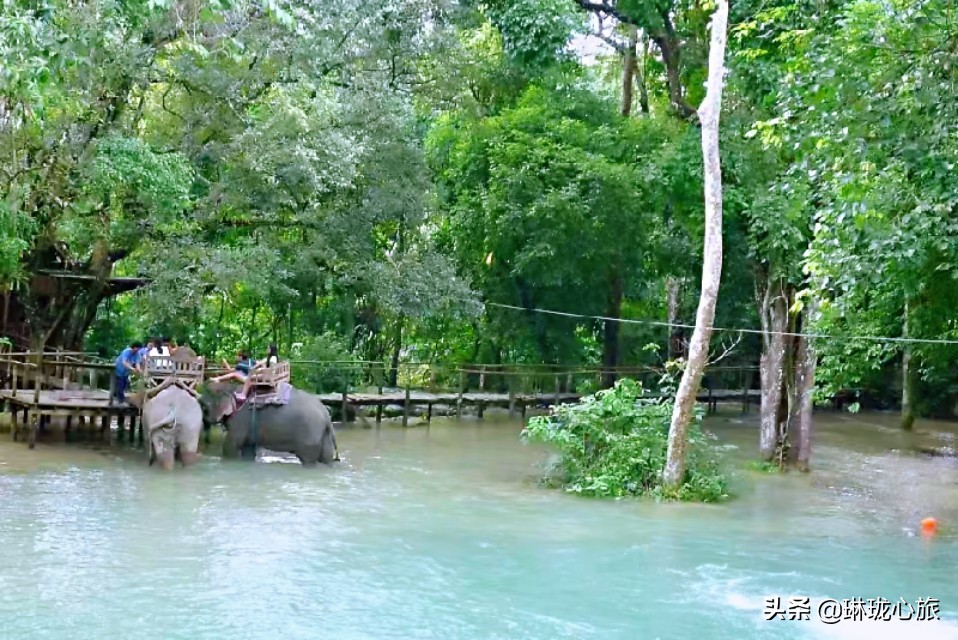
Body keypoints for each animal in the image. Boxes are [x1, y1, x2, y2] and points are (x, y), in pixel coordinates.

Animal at [201, 380, 340, 464]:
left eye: (203, 407)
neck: (231, 387)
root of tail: (326, 415)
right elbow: (248, 450)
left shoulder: (241, 419)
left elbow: (231, 445)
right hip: (323, 435)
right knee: (326, 459)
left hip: (309, 435)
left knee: (308, 459)